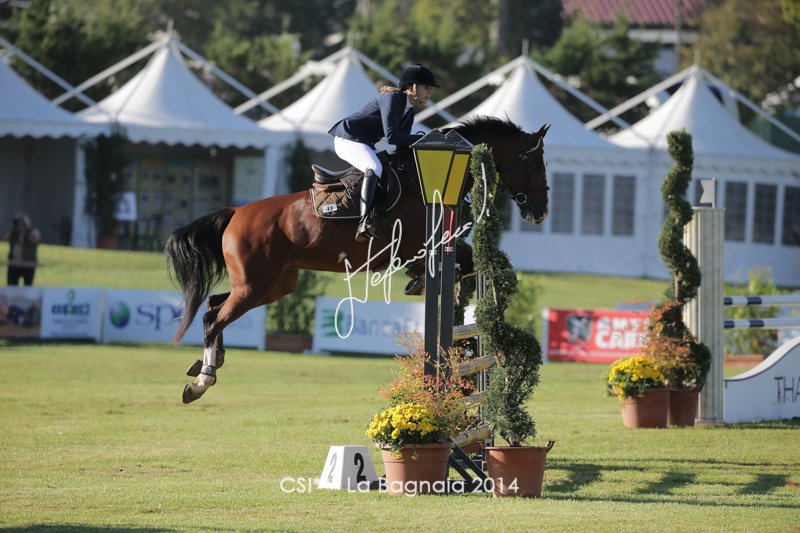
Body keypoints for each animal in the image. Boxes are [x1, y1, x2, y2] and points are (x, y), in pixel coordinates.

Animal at [165, 116, 550, 404]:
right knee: (214, 319)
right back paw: (200, 382)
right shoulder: (415, 244)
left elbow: (465, 264)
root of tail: (236, 213)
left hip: (272, 284)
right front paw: (426, 281)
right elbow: (455, 265)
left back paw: (207, 363)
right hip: (255, 285)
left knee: (214, 306)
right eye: (535, 163)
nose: (541, 212)